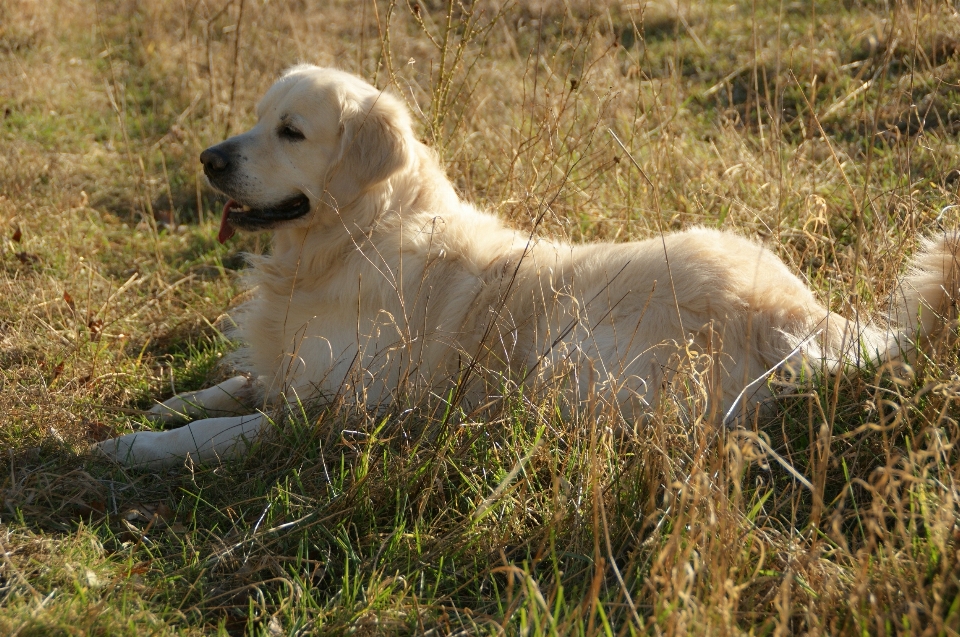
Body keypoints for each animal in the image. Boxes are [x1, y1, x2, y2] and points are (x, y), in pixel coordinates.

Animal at [97, 64, 960, 468]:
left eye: (291, 131)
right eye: (254, 118)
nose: (209, 159)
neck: (355, 237)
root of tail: (794, 311)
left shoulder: (341, 411)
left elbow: (228, 428)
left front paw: (136, 445)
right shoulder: (290, 367)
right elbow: (235, 383)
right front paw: (170, 401)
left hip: (567, 357)